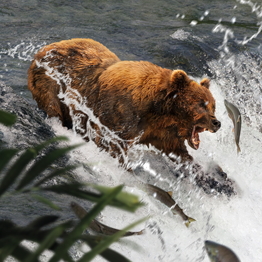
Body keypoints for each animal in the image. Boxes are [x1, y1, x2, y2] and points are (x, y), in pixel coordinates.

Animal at [28, 37, 221, 164]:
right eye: (202, 104)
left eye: (213, 106)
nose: (217, 122)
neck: (158, 109)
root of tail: (46, 47)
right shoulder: (120, 115)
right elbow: (112, 144)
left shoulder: (159, 130)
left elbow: (178, 150)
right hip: (49, 82)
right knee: (53, 107)